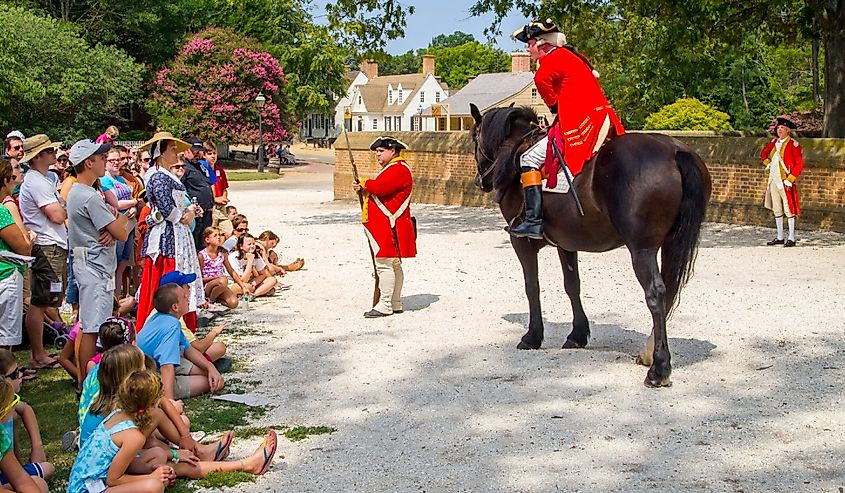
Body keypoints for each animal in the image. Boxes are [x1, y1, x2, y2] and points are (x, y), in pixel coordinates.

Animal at [468, 104, 712, 386]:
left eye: (474, 138)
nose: (481, 182)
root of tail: (675, 151)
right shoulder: (566, 243)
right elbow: (572, 286)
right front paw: (577, 334)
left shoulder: (521, 242)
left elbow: (532, 287)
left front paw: (532, 336)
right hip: (671, 244)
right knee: (670, 290)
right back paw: (649, 352)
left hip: (642, 251)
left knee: (656, 293)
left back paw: (659, 368)